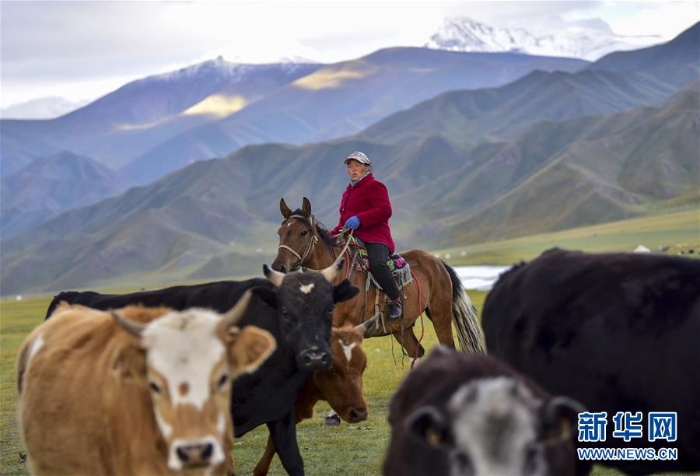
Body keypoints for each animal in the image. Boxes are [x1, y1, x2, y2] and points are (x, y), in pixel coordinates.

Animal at [270, 197, 484, 356]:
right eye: (280, 232)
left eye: (303, 232)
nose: (278, 266)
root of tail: (437, 261)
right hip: (402, 327)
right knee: (417, 351)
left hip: (440, 315)